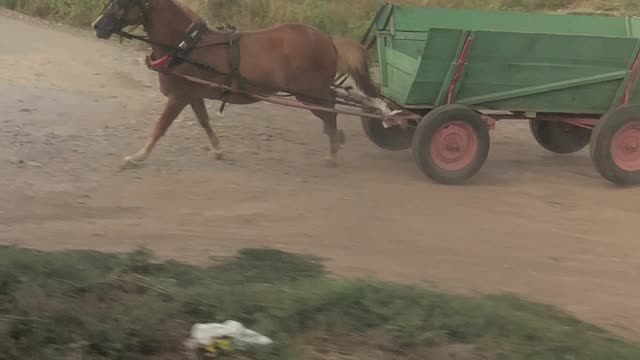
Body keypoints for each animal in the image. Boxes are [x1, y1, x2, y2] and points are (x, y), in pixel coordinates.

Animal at [92, 0, 378, 167]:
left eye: (121, 3)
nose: (97, 26)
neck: (186, 45)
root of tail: (328, 39)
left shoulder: (178, 97)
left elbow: (159, 127)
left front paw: (137, 156)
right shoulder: (191, 95)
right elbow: (205, 122)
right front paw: (218, 150)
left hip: (310, 94)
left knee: (331, 112)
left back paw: (333, 150)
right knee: (331, 112)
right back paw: (335, 142)